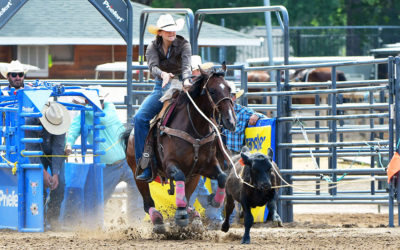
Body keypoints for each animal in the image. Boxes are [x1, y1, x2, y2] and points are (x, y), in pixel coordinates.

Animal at [122, 63, 234, 232]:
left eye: (229, 89)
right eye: (213, 91)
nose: (230, 121)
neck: (194, 128)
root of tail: (131, 133)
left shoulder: (206, 165)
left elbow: (222, 177)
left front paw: (214, 201)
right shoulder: (170, 164)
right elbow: (179, 176)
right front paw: (180, 215)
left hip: (194, 177)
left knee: (187, 196)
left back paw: (192, 214)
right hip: (138, 173)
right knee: (148, 203)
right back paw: (159, 220)